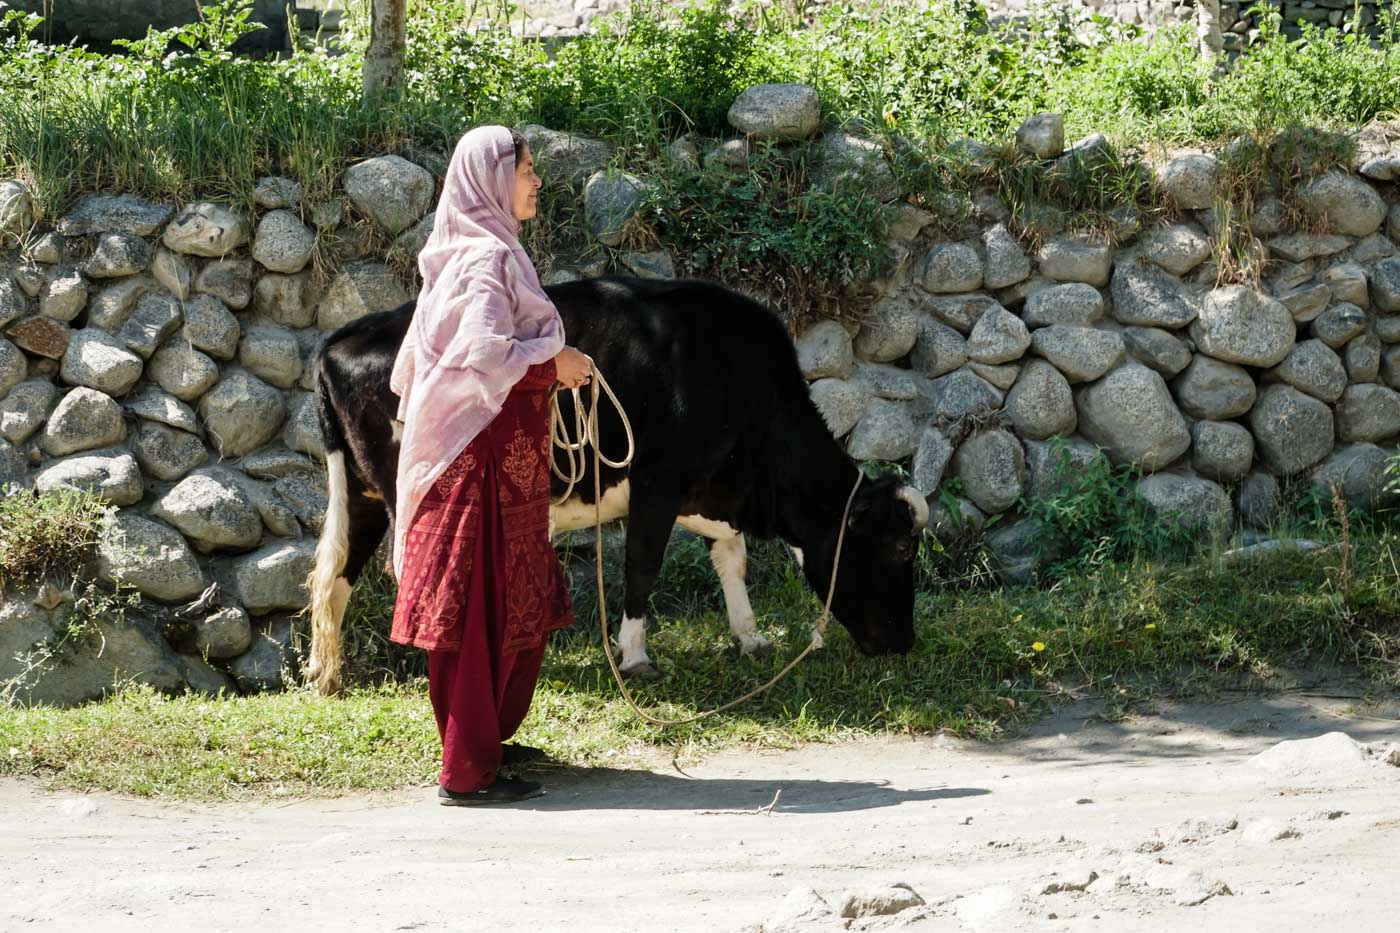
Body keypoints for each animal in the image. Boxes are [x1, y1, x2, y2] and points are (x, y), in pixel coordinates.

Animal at [312, 274, 935, 689]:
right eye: (901, 548)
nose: (905, 642)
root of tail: (343, 338)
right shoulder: (657, 486)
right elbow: (642, 567)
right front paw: (634, 656)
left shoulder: (709, 493)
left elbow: (731, 559)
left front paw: (750, 637)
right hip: (410, 490)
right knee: (408, 571)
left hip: (361, 491)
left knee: (336, 575)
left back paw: (326, 673)